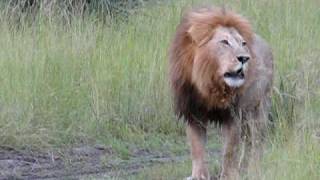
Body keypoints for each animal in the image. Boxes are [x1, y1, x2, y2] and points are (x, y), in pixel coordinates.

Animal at [168, 6, 272, 179]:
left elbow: (229, 150)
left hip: (258, 108)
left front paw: (229, 175)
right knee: (247, 141)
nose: (245, 58)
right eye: (224, 42)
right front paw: (198, 176)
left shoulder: (233, 115)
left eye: (243, 43)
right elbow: (197, 149)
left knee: (256, 140)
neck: (210, 83)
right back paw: (244, 169)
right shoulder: (193, 114)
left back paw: (254, 170)